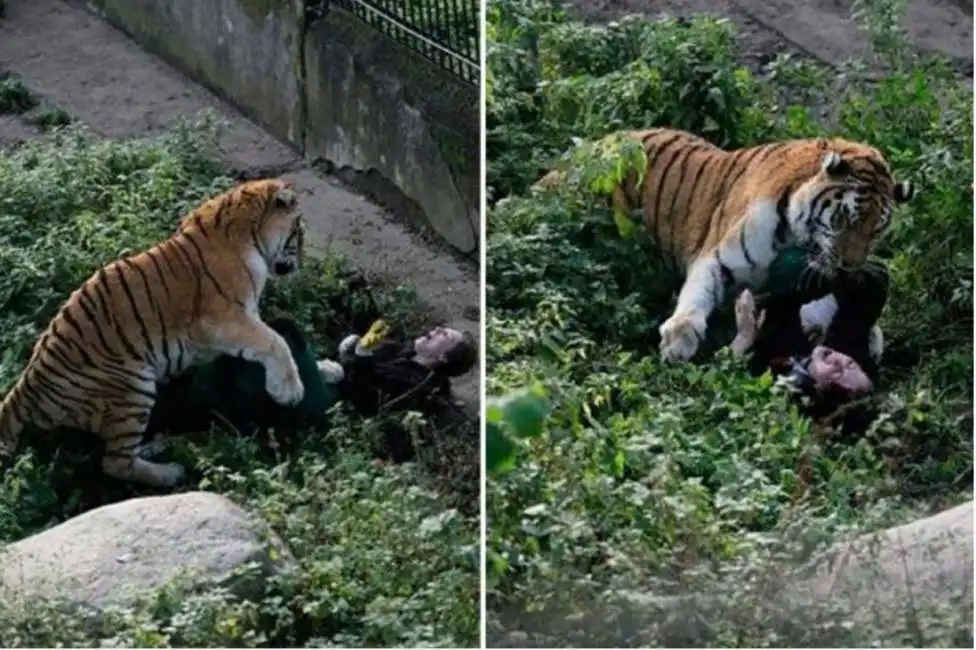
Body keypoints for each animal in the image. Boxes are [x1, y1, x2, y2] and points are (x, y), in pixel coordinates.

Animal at [0, 175, 304, 484]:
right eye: (298, 231)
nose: (301, 262)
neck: (249, 231)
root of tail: (25, 388)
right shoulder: (220, 320)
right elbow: (274, 341)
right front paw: (289, 391)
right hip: (132, 387)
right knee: (115, 463)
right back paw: (170, 472)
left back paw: (157, 447)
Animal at [532, 125, 916, 360]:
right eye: (845, 220)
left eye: (876, 230)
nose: (850, 267)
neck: (796, 236)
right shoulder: (717, 258)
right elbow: (697, 294)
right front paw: (680, 337)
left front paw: (868, 335)